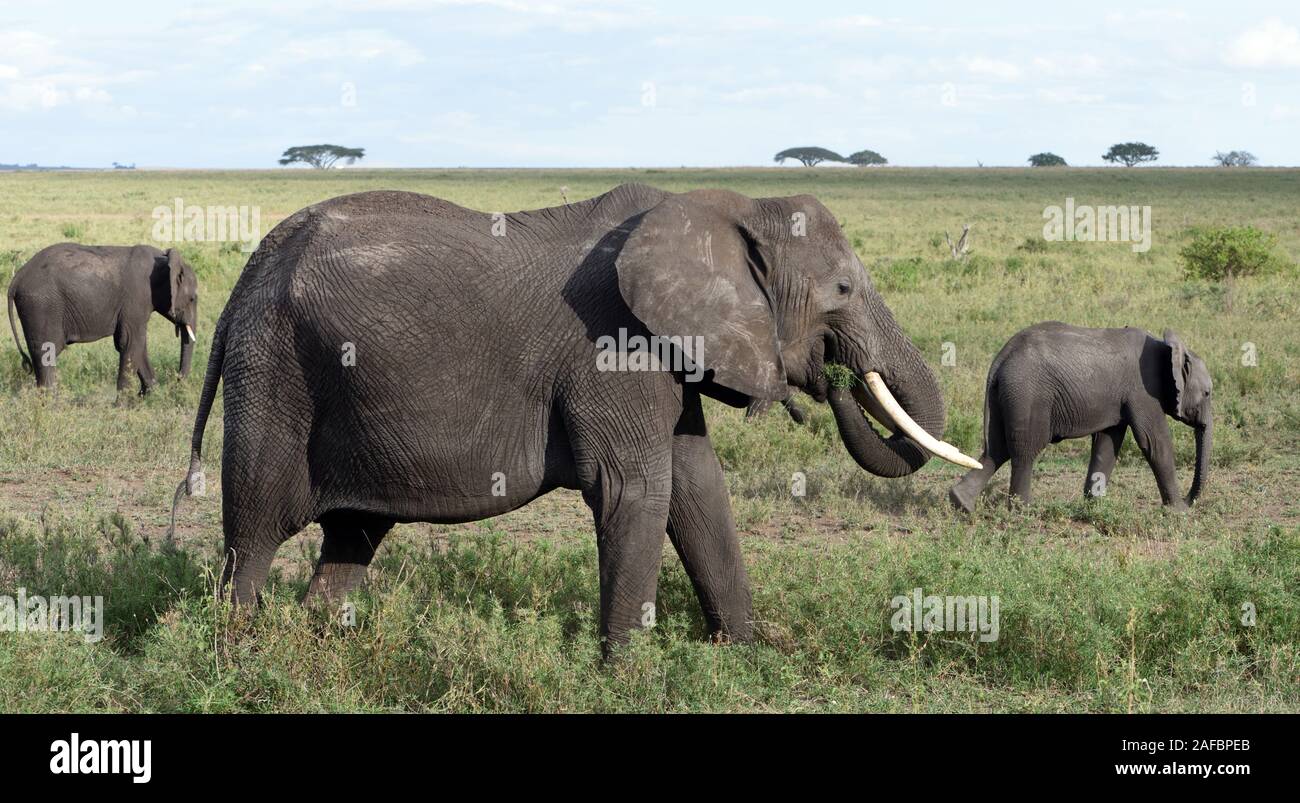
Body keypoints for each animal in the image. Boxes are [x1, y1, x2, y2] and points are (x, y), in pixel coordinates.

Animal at [6, 244, 197, 395]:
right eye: (193, 299)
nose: (177, 381)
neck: (164, 259)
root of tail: (17, 277)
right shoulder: (136, 298)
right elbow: (130, 342)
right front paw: (122, 408)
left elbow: (136, 345)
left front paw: (148, 398)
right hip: (41, 305)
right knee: (46, 353)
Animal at [175, 183, 982, 649]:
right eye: (842, 289)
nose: (831, 374)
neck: (720, 204)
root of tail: (250, 270)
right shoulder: (613, 343)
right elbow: (637, 491)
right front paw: (629, 674)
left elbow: (698, 487)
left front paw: (745, 654)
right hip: (275, 373)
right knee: (254, 532)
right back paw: (239, 658)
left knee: (351, 536)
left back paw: (317, 651)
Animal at [951, 322, 1211, 509]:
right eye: (1208, 393)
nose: (1189, 500)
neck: (1167, 348)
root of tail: (1001, 357)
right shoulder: (1143, 391)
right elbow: (1155, 442)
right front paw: (1178, 511)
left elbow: (1107, 444)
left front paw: (1094, 506)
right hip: (1027, 393)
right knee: (1025, 449)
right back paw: (1021, 511)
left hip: (1005, 394)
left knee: (996, 449)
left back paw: (961, 503)